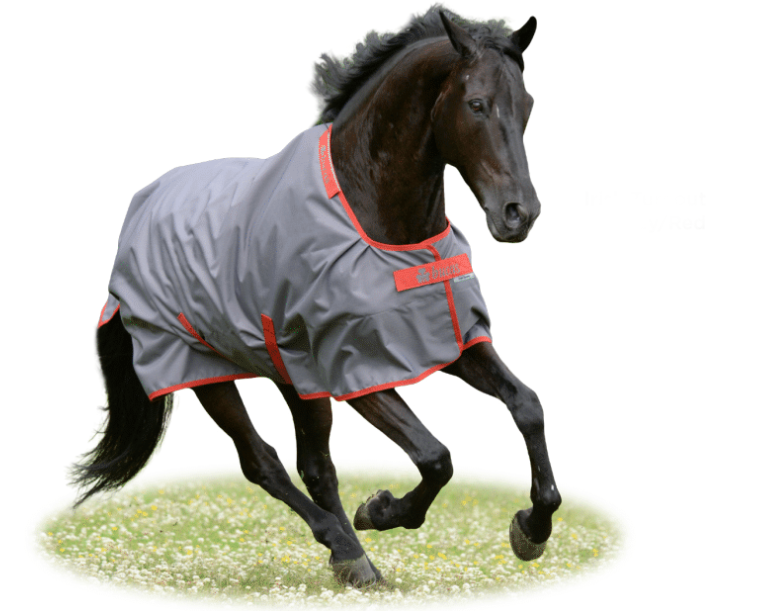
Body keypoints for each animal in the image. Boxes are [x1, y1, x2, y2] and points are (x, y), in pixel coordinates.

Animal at [73, 6, 561, 588]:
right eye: (477, 104)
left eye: (528, 106)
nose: (519, 214)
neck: (380, 222)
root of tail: (143, 206)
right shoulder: (355, 370)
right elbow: (435, 456)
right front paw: (381, 510)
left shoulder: (449, 341)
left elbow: (527, 405)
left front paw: (532, 527)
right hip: (202, 368)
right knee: (262, 461)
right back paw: (346, 544)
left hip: (293, 375)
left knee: (315, 466)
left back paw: (354, 561)